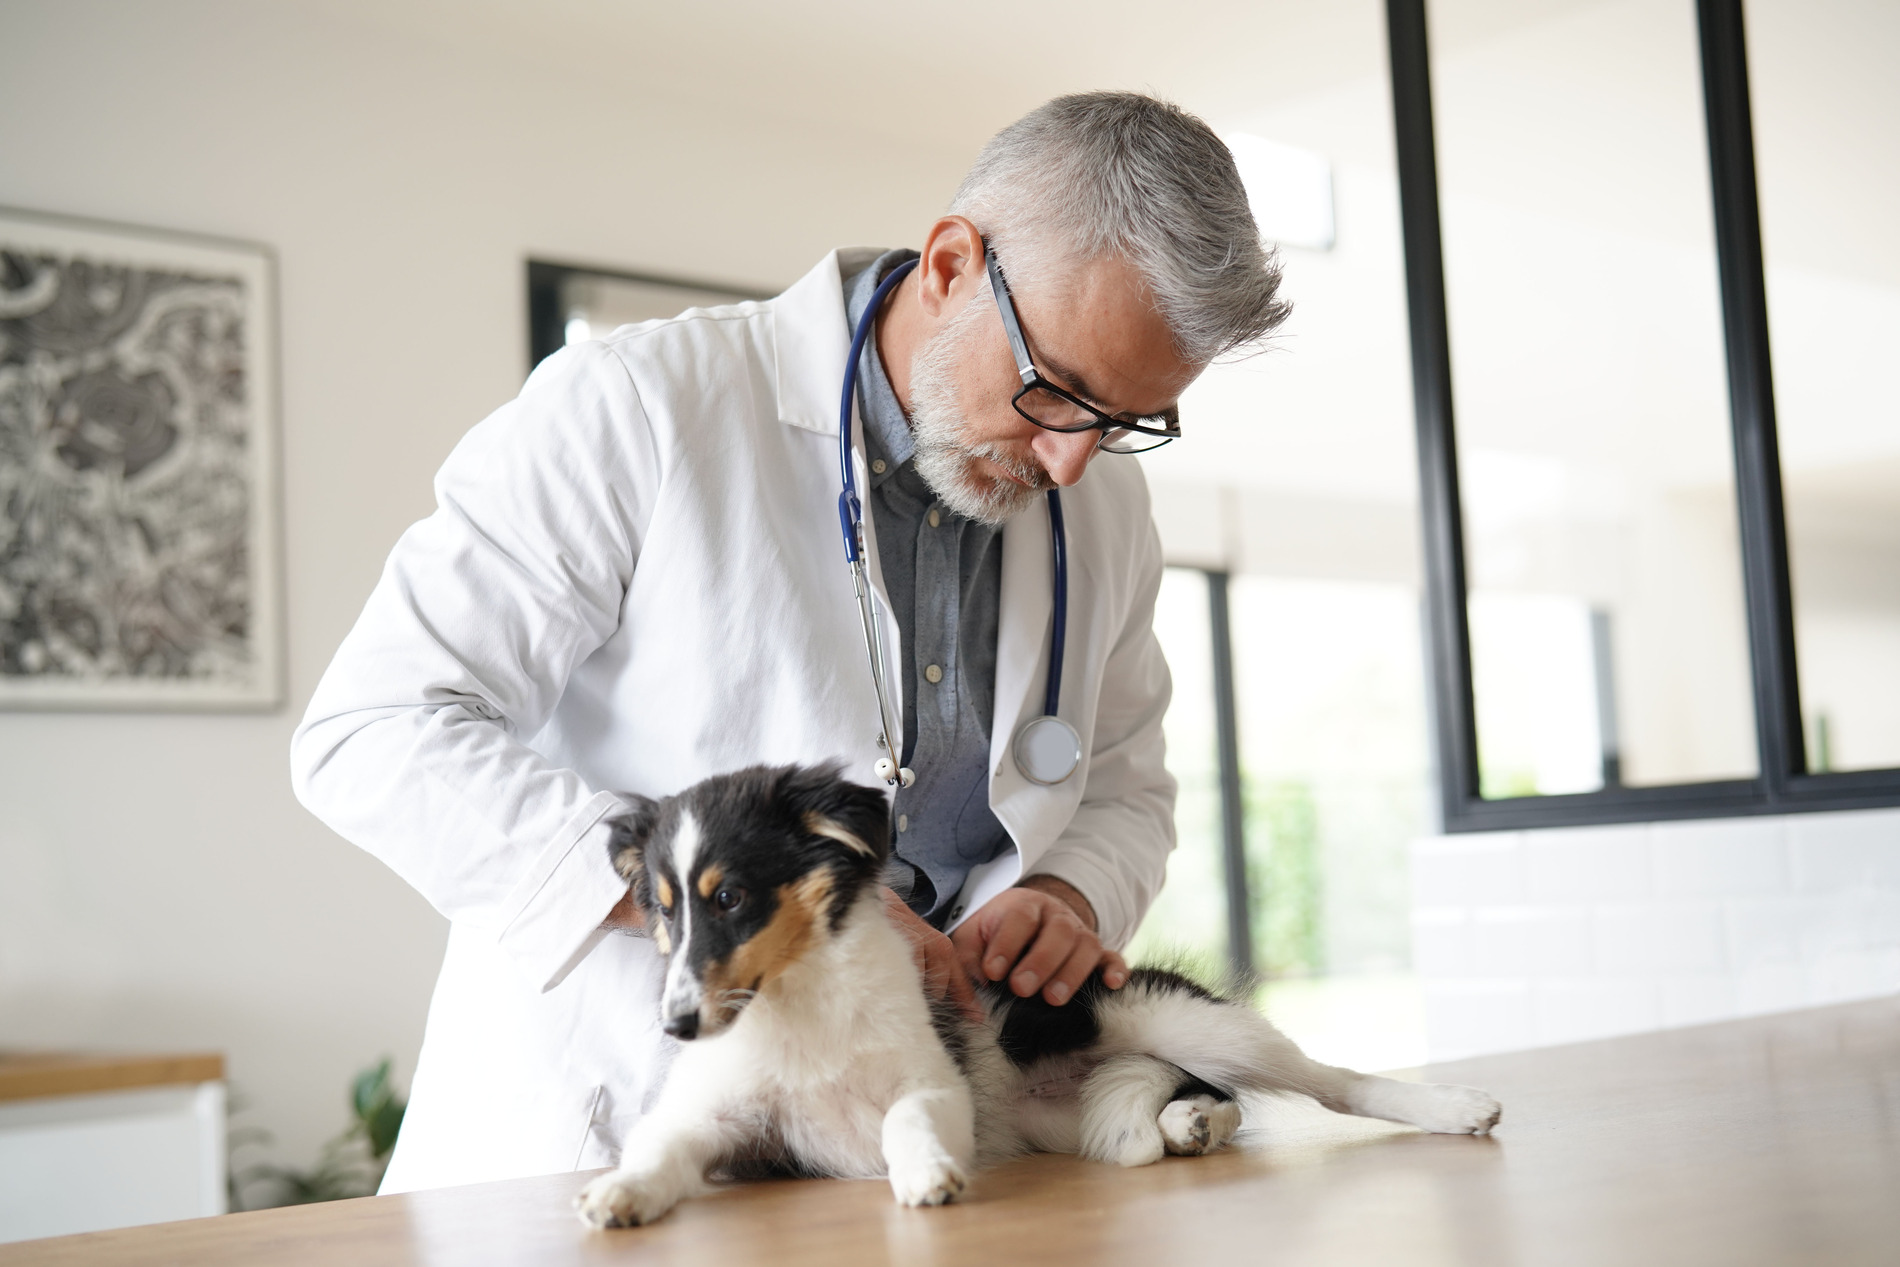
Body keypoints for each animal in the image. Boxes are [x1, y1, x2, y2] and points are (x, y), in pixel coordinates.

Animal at [570, 763, 1504, 1230]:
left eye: (730, 897)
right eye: (660, 907)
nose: (678, 1024)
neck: (796, 1006)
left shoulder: (933, 1083)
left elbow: (904, 1116)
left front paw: (925, 1174)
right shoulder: (716, 1114)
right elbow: (660, 1147)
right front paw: (620, 1194)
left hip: (1174, 1015)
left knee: (1320, 1077)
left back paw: (1456, 1105)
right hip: (1066, 1120)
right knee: (1195, 1098)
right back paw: (1188, 1123)